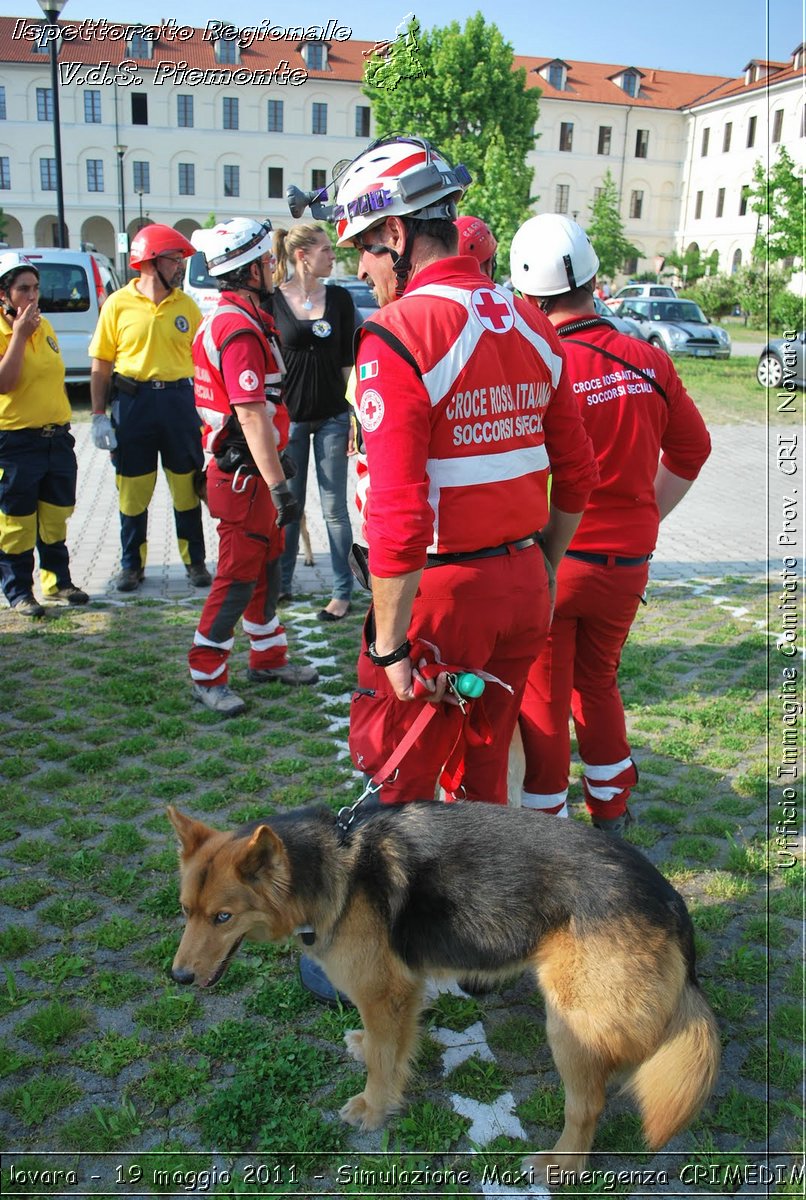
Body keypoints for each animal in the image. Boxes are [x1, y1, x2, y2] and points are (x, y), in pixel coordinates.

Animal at [167, 801, 719, 1176]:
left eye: (223, 917)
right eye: (186, 911)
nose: (178, 979)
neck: (330, 868)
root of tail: (669, 899)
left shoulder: (382, 991)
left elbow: (382, 1062)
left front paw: (373, 1107)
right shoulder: (402, 991)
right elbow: (388, 1048)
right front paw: (370, 1054)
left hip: (569, 1029)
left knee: (588, 1106)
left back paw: (561, 1164)